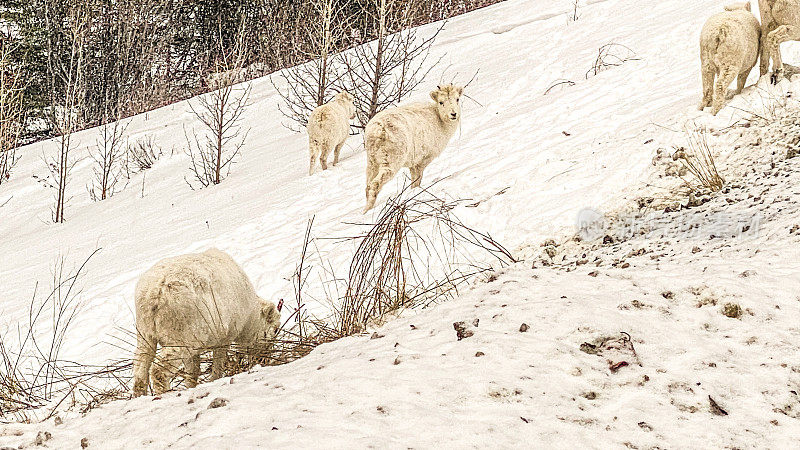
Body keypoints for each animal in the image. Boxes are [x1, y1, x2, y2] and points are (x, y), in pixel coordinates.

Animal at [132, 248, 282, 396]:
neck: (251, 316)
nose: (265, 358)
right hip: (179, 337)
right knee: (158, 370)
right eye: (275, 329)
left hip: (145, 334)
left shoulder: (194, 349)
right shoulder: (223, 338)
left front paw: (191, 386)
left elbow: (193, 371)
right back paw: (164, 392)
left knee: (140, 368)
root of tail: (154, 294)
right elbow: (218, 364)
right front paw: (215, 379)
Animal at [362, 83, 462, 212]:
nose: (453, 114)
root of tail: (378, 129)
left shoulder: (413, 162)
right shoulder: (422, 160)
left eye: (457, 99)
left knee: (368, 186)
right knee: (375, 184)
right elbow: (416, 180)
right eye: (441, 102)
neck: (440, 121)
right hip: (391, 161)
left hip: (372, 162)